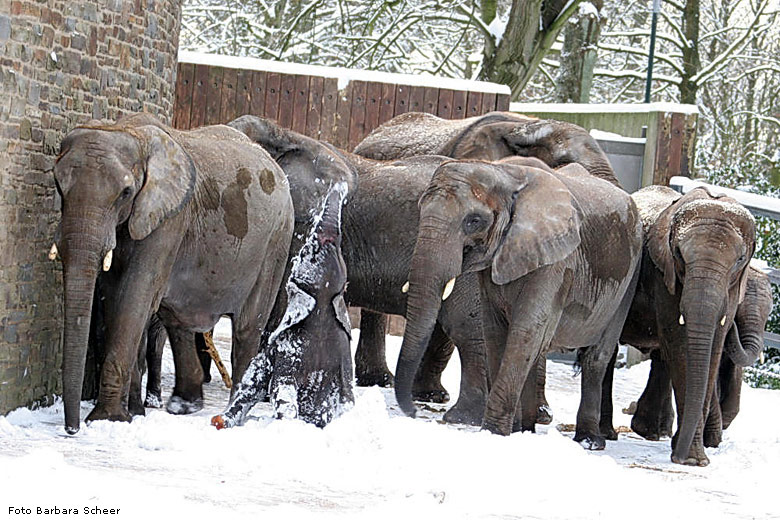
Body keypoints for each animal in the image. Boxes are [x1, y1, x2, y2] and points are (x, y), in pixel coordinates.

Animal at [51, 115, 294, 434]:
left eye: (125, 193)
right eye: (57, 184)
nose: (72, 429)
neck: (129, 130)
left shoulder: (168, 222)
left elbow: (134, 297)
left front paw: (108, 419)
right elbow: (114, 296)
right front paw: (133, 413)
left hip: (276, 242)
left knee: (247, 329)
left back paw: (232, 414)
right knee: (178, 320)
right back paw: (184, 405)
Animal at [400, 158, 644, 446]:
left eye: (474, 221)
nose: (414, 412)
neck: (506, 175)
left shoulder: (557, 260)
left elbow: (526, 330)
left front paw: (493, 433)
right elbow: (496, 333)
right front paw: (511, 433)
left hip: (629, 277)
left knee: (596, 357)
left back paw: (589, 441)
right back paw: (527, 430)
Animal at [616, 185, 756, 466]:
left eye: (740, 259)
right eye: (679, 254)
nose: (680, 457)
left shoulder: (733, 287)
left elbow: (713, 349)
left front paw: (695, 459)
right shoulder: (663, 274)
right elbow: (680, 343)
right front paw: (692, 460)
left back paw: (651, 432)